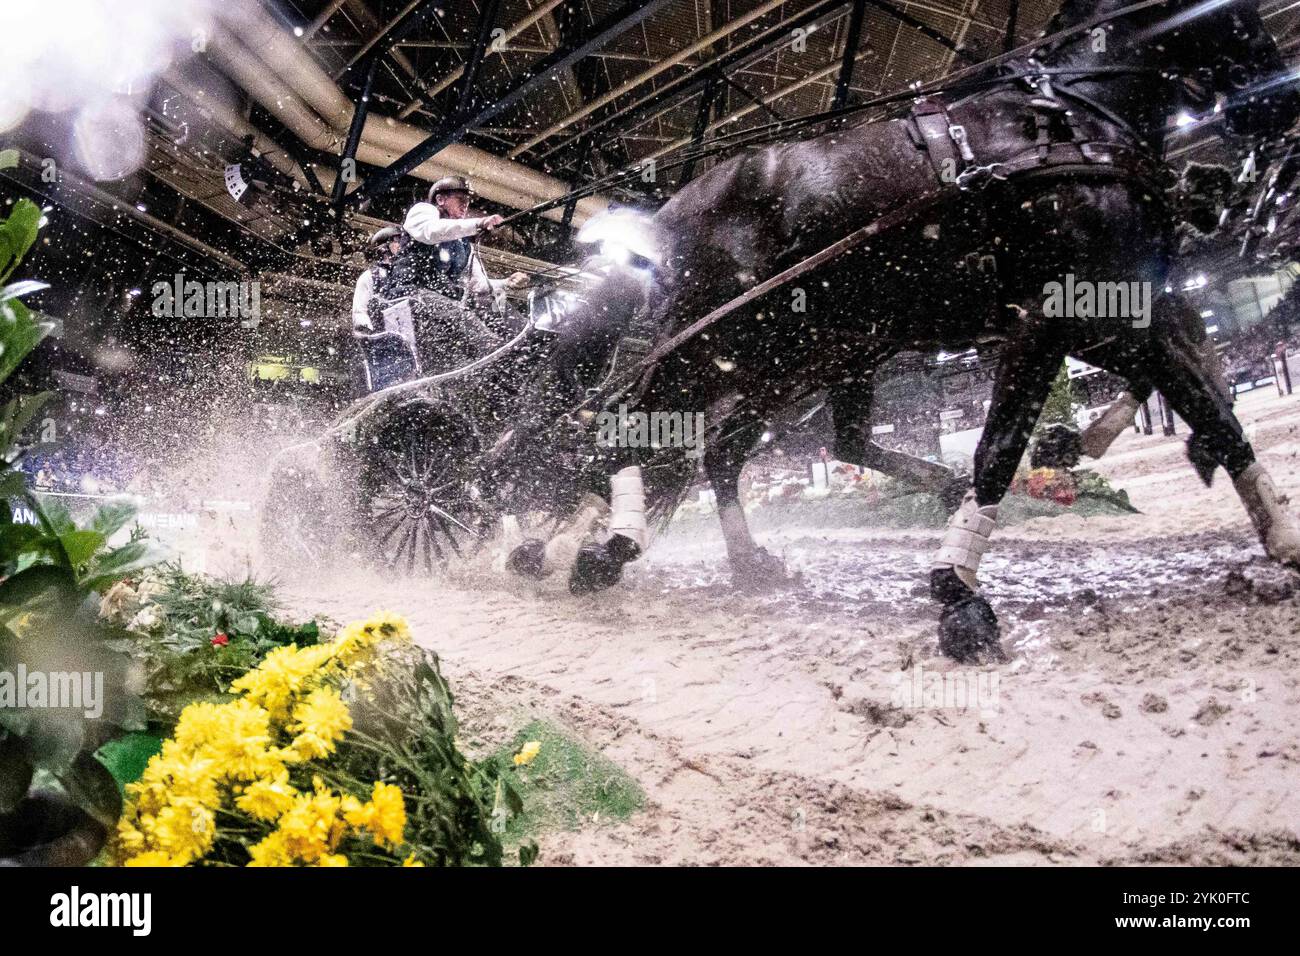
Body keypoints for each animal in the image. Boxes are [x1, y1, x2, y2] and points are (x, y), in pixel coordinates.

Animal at [504, 0, 1300, 660]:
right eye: (1240, 15)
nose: (1278, 102)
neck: (1071, 121)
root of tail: (667, 215)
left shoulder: (1126, 308)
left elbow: (1212, 408)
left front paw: (1281, 535)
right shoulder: (1050, 316)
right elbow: (998, 450)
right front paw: (960, 594)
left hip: (795, 355)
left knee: (720, 448)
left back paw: (711, 557)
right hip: (716, 344)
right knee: (626, 426)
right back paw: (595, 547)